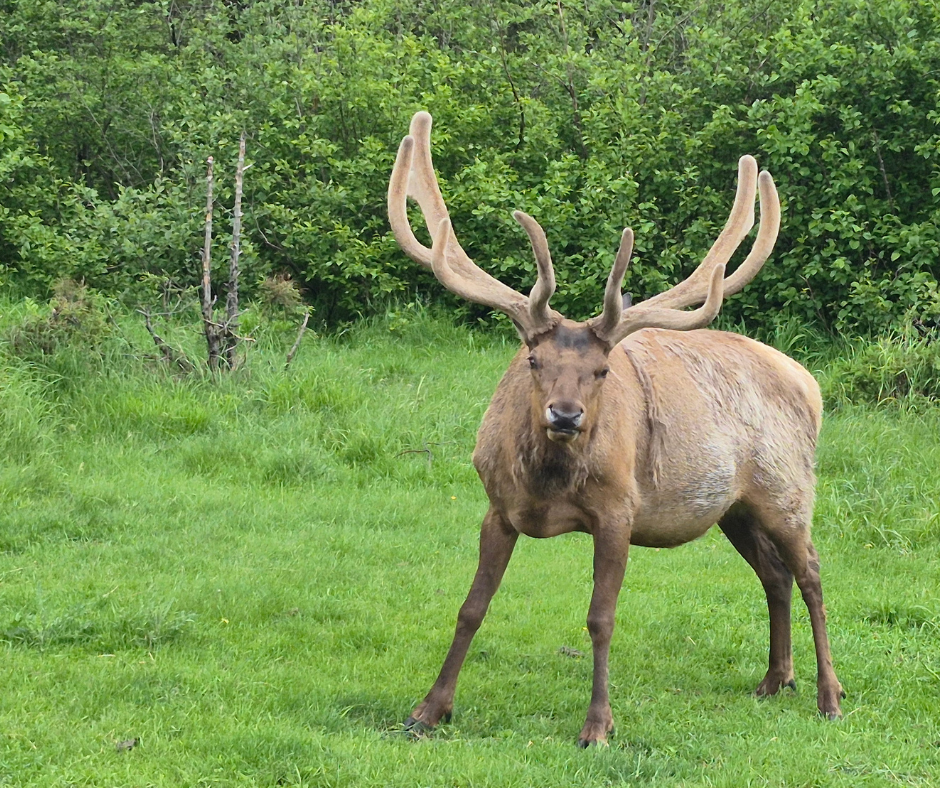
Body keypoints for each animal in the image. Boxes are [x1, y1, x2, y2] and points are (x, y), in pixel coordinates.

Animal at [388, 111, 844, 747]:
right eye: (533, 361)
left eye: (602, 370)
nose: (565, 414)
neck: (548, 485)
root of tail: (809, 383)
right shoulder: (497, 507)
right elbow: (470, 608)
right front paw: (427, 710)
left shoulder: (617, 510)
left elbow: (600, 618)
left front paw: (597, 726)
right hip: (734, 509)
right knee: (774, 577)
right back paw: (776, 680)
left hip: (787, 488)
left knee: (812, 575)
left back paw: (830, 695)